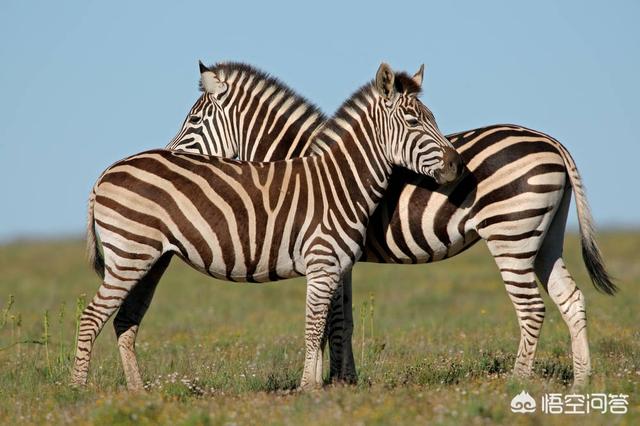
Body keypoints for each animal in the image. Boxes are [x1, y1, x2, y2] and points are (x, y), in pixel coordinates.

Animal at [70, 61, 462, 392]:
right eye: (414, 123)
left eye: (432, 119)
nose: (456, 166)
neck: (340, 180)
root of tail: (106, 172)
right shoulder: (323, 262)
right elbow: (316, 327)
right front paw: (310, 388)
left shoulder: (337, 266)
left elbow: (328, 325)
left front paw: (322, 384)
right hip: (130, 255)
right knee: (91, 316)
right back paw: (78, 391)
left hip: (149, 260)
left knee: (124, 320)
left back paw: (138, 393)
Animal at [165, 60, 616, 390]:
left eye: (193, 123)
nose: (170, 157)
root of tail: (551, 141)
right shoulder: (338, 254)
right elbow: (342, 319)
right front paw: (343, 379)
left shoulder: (329, 249)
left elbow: (332, 320)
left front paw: (332, 381)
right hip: (544, 235)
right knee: (571, 299)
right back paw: (581, 383)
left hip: (510, 232)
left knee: (531, 307)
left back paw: (516, 382)